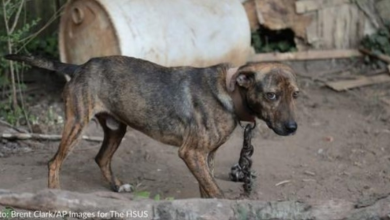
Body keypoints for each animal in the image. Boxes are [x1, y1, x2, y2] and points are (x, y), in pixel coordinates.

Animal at [4, 54, 298, 199]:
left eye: (295, 94)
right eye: (271, 95)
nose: (293, 127)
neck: (230, 92)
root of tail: (79, 67)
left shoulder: (207, 156)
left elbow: (207, 189)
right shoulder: (191, 153)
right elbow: (217, 191)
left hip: (116, 128)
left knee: (101, 158)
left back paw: (117, 187)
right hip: (77, 123)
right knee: (54, 162)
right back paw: (55, 196)